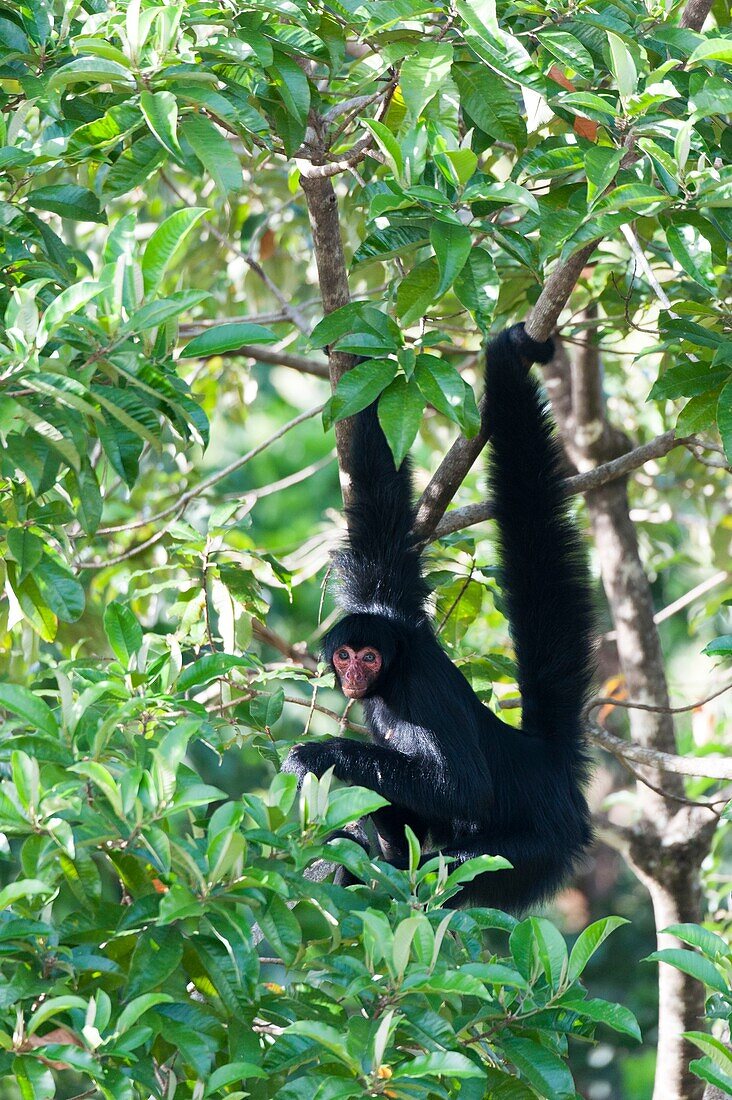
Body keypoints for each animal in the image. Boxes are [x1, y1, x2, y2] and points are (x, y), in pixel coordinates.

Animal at [280, 323, 594, 910]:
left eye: (370, 657)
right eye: (345, 654)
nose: (353, 673)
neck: (393, 674)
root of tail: (541, 761)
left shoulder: (420, 689)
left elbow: (462, 786)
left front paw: (319, 755)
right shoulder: (385, 598)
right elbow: (379, 503)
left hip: (535, 847)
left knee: (447, 870)